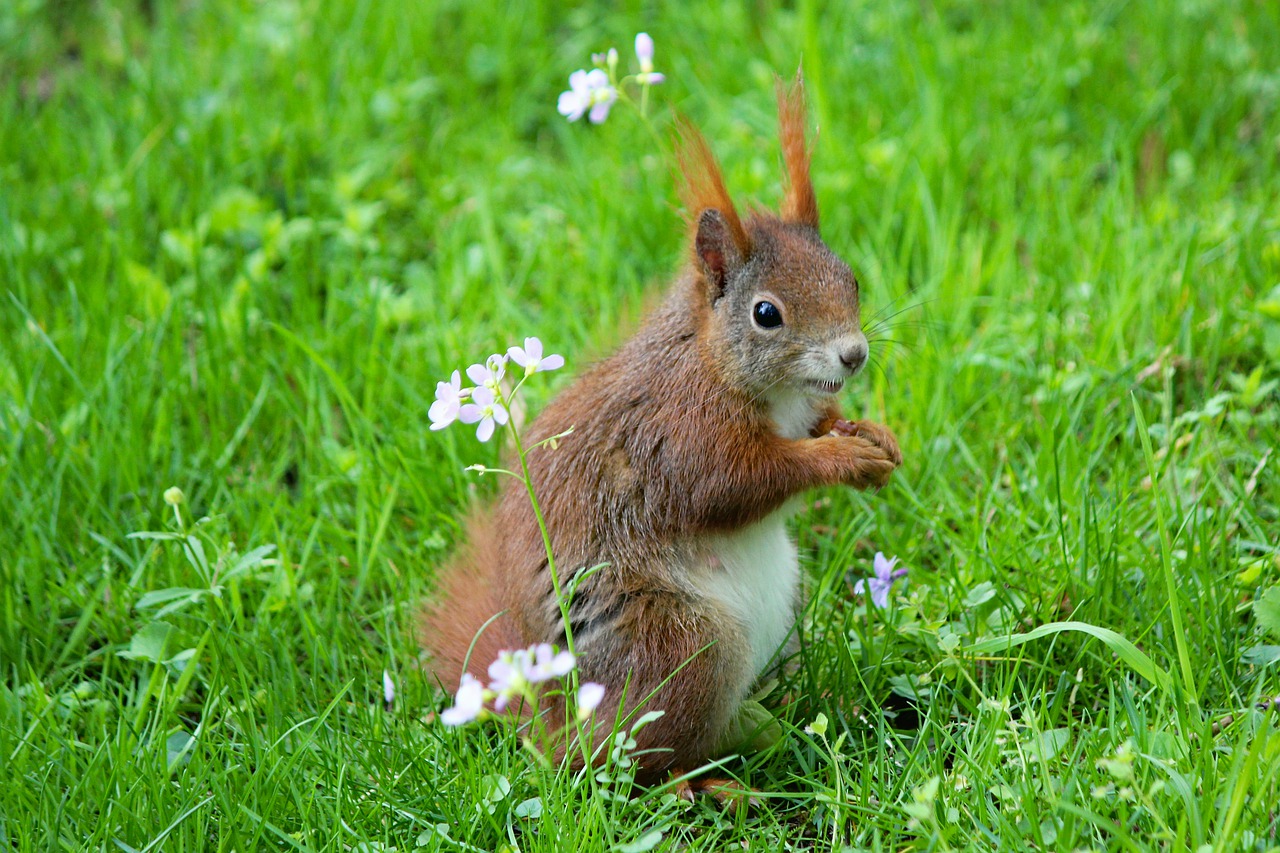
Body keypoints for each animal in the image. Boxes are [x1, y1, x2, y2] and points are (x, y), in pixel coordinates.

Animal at [419, 76, 901, 778]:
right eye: (766, 314)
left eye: (852, 279)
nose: (854, 355)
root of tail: (556, 719)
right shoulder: (681, 431)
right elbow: (736, 483)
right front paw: (842, 461)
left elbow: (823, 421)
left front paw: (871, 434)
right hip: (681, 646)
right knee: (636, 762)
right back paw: (705, 784)